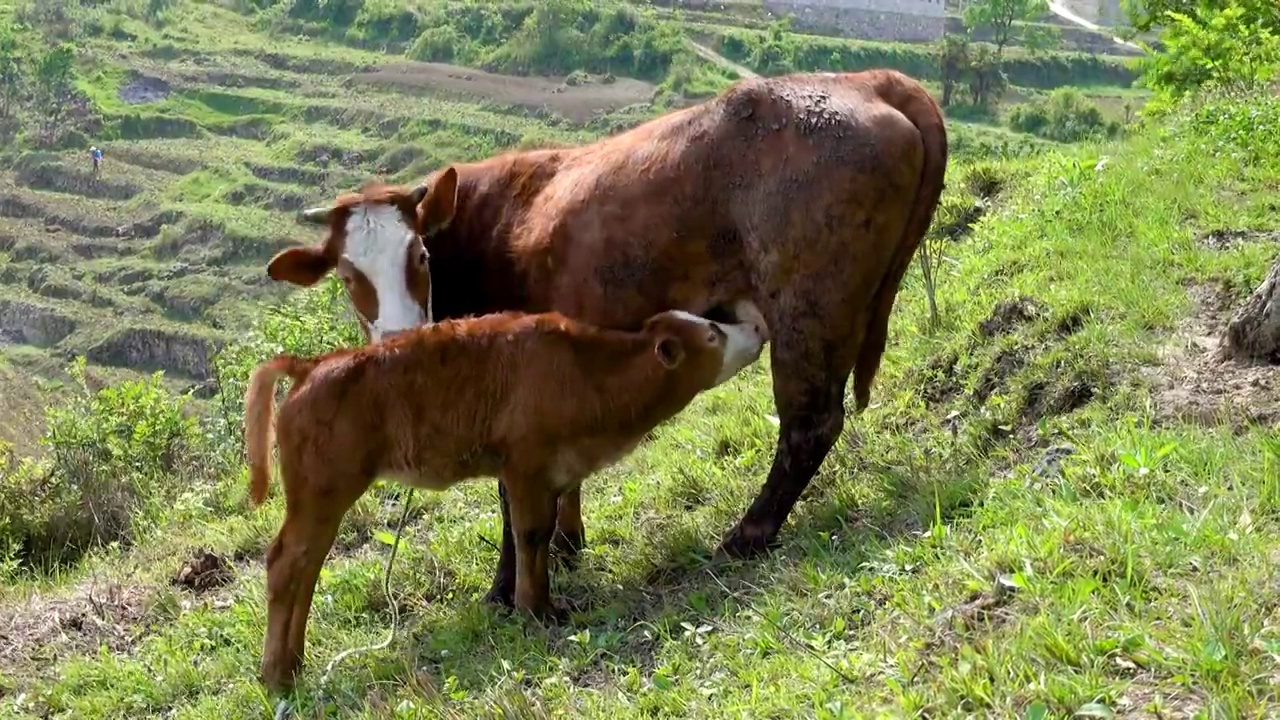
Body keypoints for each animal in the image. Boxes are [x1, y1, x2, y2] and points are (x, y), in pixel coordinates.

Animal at [241, 307, 757, 681]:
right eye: (713, 333)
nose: (754, 323)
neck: (585, 374)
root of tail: (313, 365)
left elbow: (542, 536)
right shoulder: (525, 466)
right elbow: (530, 534)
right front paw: (536, 609)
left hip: (322, 498)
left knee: (307, 564)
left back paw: (293, 660)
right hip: (324, 489)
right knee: (285, 561)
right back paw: (276, 673)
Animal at [267, 67, 952, 584]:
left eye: (421, 256)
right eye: (347, 275)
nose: (401, 334)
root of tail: (866, 80)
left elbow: (511, 497)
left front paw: (507, 586)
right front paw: (568, 547)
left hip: (810, 309)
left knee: (810, 423)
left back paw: (748, 534)